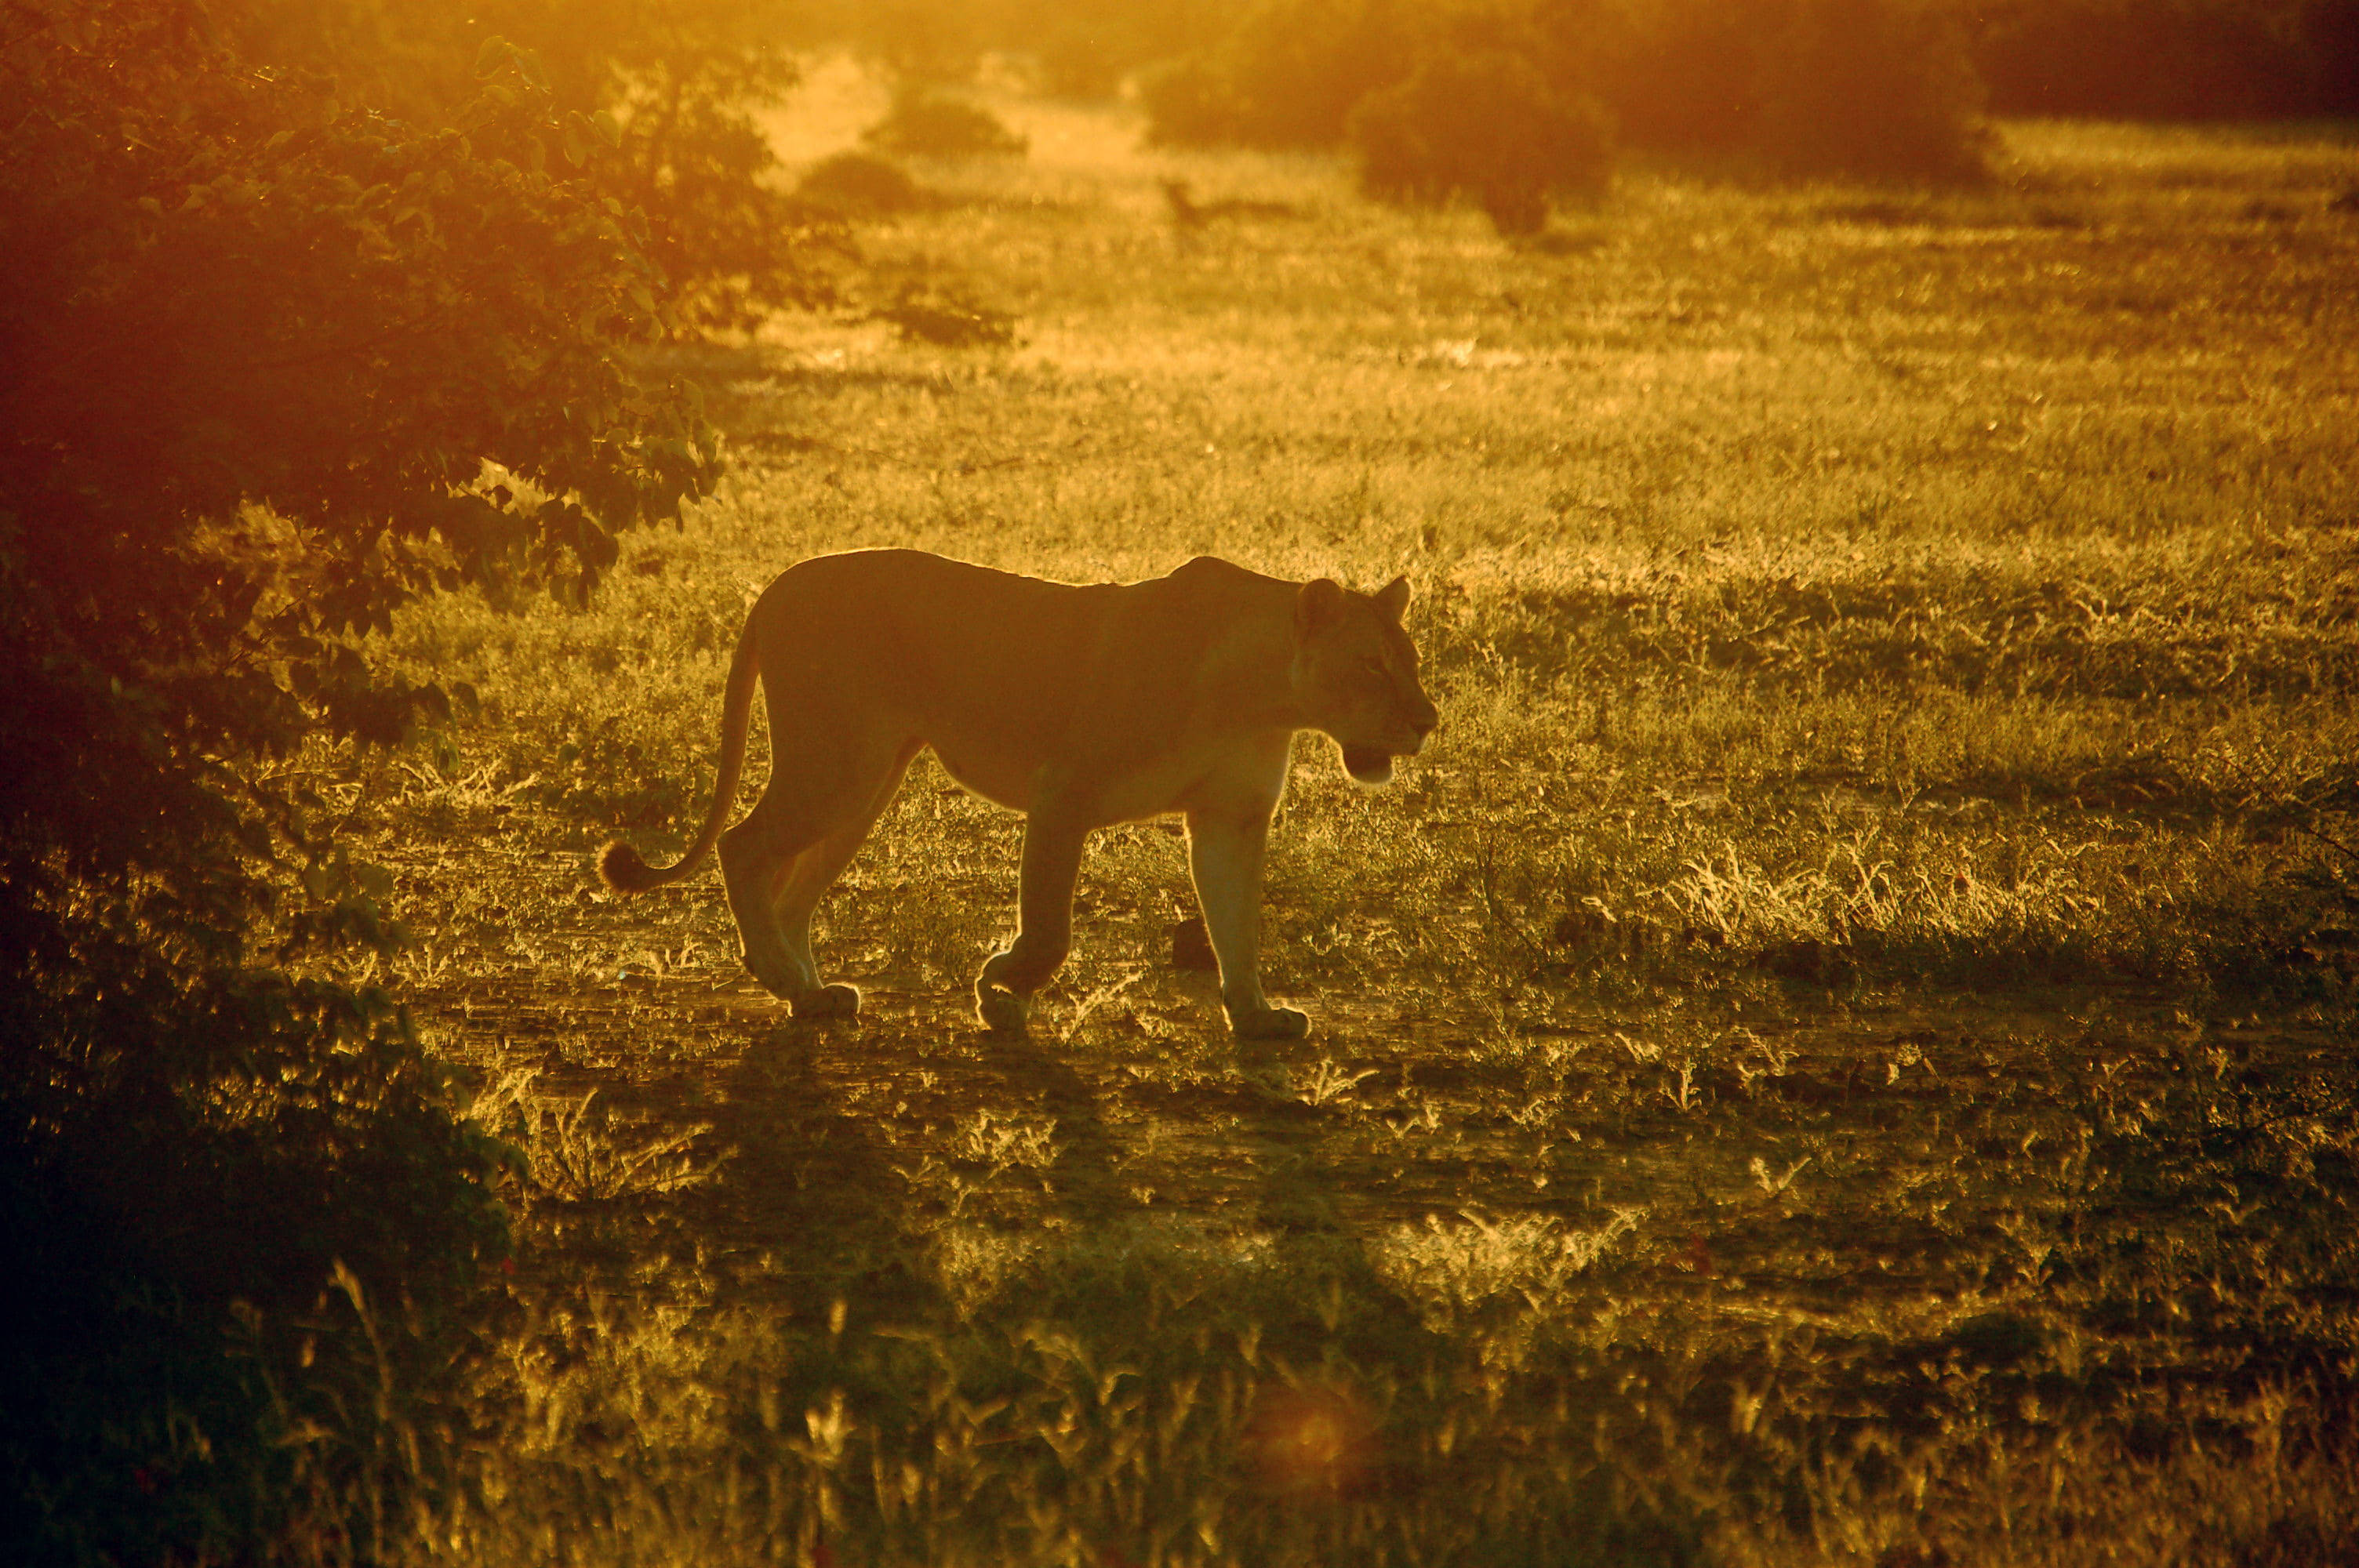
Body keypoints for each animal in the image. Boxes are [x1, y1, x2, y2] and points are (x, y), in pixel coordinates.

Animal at [596, 549, 1439, 1039]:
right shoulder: (1063, 791)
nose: (1429, 721)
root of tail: (776, 585)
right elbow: (1050, 928)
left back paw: (811, 993)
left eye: (1413, 661)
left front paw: (1258, 1016)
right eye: (1371, 665)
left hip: (865, 781)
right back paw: (781, 980)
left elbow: (1237, 924)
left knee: (792, 889)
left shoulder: (1231, 819)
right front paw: (999, 989)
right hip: (836, 766)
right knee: (741, 847)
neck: (1260, 699)